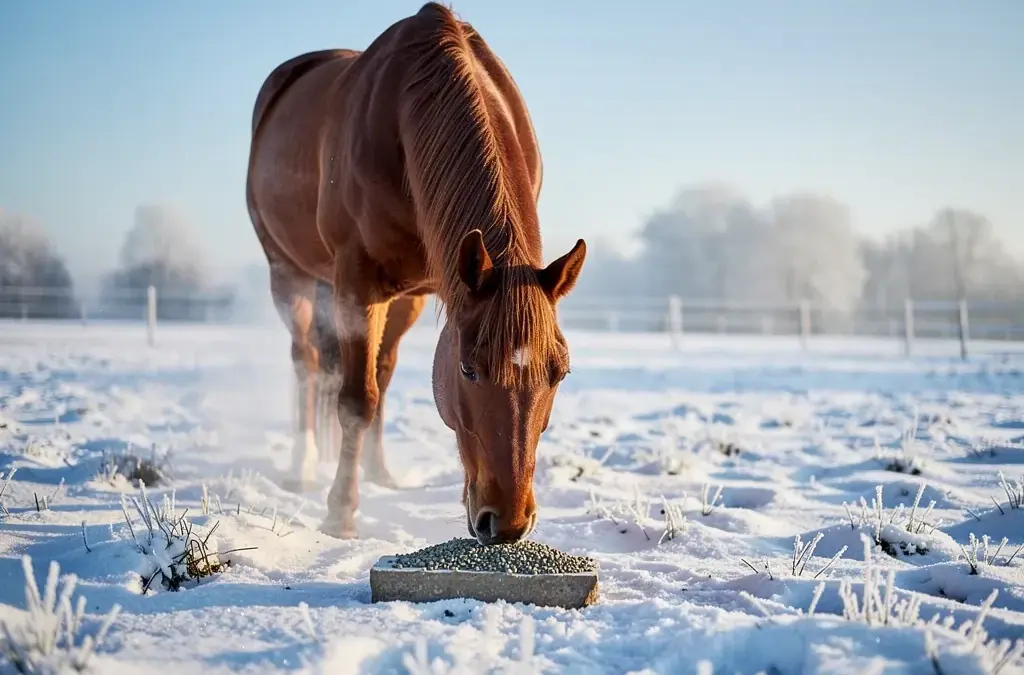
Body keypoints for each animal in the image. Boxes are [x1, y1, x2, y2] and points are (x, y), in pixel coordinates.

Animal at [245, 2, 587, 544]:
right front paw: (340, 513)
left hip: (399, 299)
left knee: (377, 373)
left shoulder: (416, 292)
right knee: (308, 363)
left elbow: (375, 384)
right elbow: (354, 401)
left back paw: (378, 471)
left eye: (560, 373)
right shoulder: (356, 285)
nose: (508, 524)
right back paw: (304, 466)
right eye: (468, 369)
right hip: (290, 276)